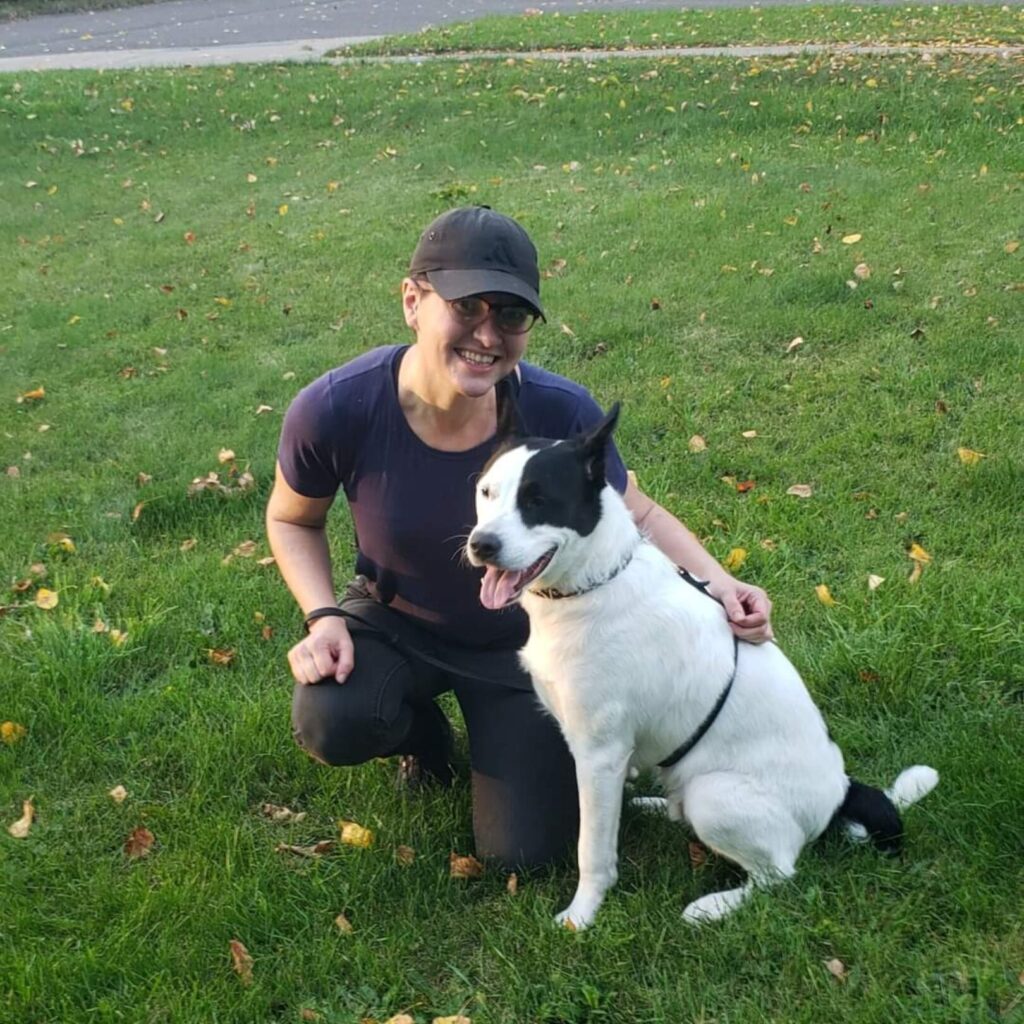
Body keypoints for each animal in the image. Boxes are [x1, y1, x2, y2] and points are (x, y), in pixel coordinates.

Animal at [468, 403, 937, 933]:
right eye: (487, 492)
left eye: (538, 500)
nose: (481, 545)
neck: (594, 583)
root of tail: (840, 792)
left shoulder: (598, 753)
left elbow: (593, 848)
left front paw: (582, 914)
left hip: (714, 794)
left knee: (779, 873)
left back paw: (713, 905)